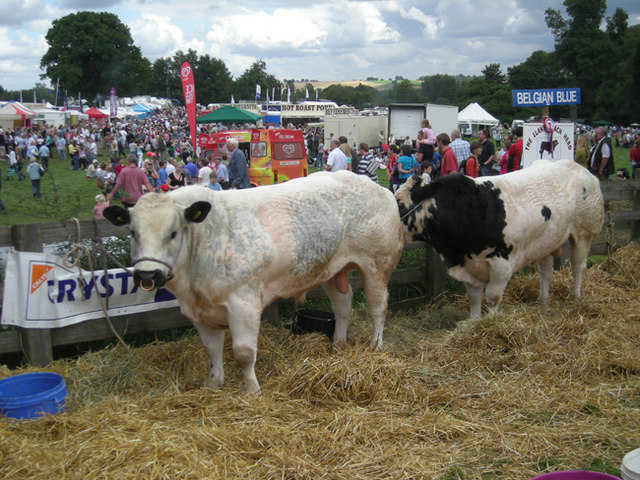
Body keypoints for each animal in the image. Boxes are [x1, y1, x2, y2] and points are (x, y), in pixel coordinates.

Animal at [105, 172, 404, 394]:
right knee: (343, 304)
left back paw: (375, 345)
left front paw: (250, 389)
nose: (147, 275)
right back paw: (338, 344)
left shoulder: (244, 302)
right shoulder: (199, 311)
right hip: (332, 269)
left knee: (377, 307)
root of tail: (378, 187)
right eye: (132, 232)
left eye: (173, 233)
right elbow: (211, 349)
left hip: (378, 265)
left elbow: (243, 352)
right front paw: (213, 382)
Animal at [396, 159, 604, 320]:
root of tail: (583, 170)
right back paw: (543, 301)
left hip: (583, 233)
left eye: (399, 203)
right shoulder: (470, 266)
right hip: (545, 241)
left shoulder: (501, 263)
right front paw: (473, 322)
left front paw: (491, 322)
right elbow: (474, 297)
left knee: (578, 266)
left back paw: (575, 297)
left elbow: (493, 297)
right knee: (546, 271)